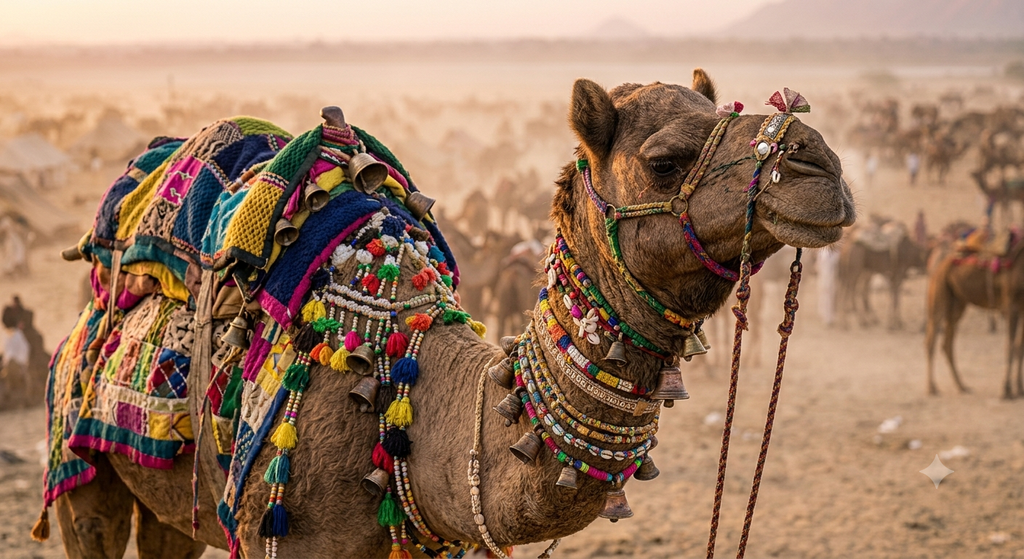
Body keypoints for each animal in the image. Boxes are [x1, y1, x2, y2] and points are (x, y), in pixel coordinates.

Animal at [925, 236, 1024, 398]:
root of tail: (940, 262)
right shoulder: (1011, 306)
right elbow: (1010, 346)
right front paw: (1006, 390)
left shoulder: (1022, 310)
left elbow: (1019, 347)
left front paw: (1019, 389)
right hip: (939, 293)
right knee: (931, 341)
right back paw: (932, 388)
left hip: (957, 305)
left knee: (947, 344)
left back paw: (962, 386)